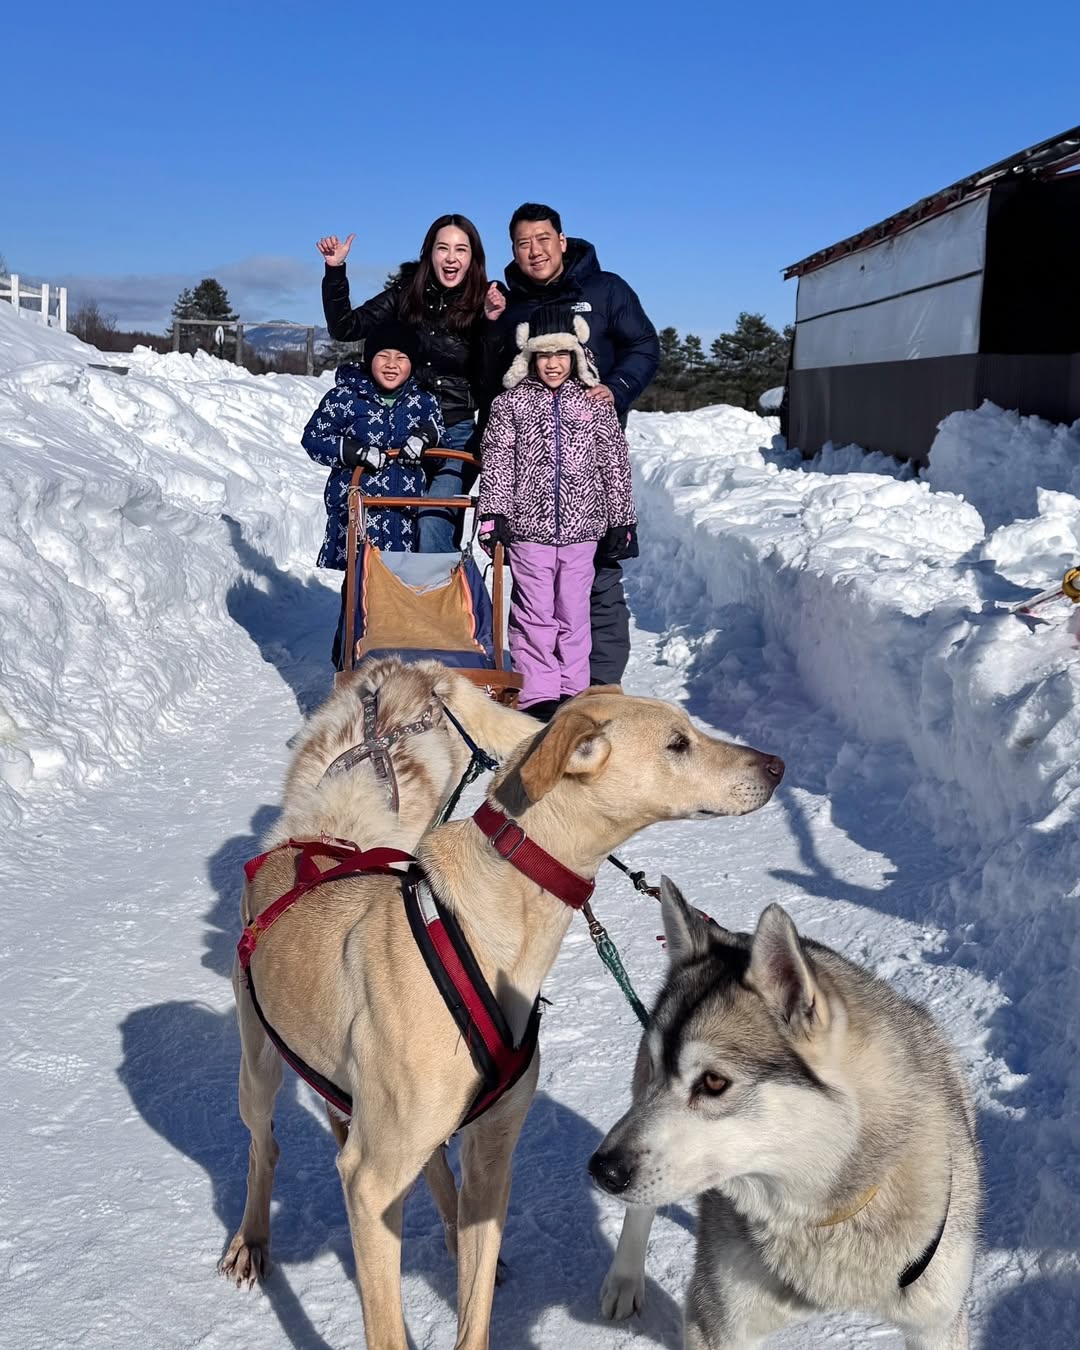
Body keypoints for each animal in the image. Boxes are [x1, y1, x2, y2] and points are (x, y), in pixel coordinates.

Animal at [218, 691, 783, 1344]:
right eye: (678, 743)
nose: (776, 765)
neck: (486, 933)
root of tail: (303, 844)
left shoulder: (492, 1157)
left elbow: (475, 1310)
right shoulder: (369, 1178)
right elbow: (386, 1329)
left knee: (436, 1168)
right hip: (258, 1071)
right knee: (263, 1147)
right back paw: (250, 1239)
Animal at [591, 880, 977, 1344]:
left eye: (713, 1082)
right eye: (655, 1065)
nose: (603, 1170)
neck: (828, 1213)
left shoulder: (937, 1322)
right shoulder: (717, 1320)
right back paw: (624, 1281)